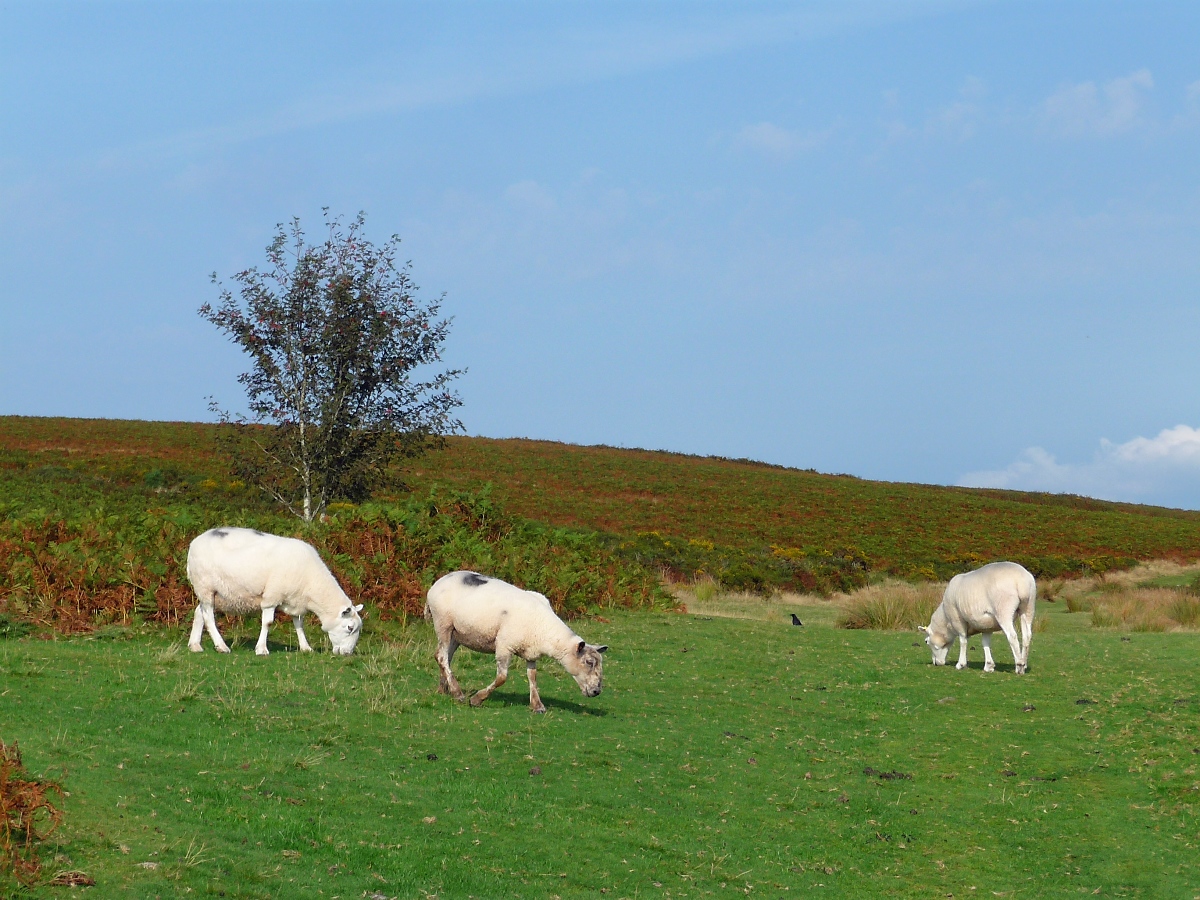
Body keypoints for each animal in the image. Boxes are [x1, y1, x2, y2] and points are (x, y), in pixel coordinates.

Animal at [184, 525, 362, 657]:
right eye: (349, 628)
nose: (347, 653)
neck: (312, 583)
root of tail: (195, 542)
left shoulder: (296, 600)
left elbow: (299, 624)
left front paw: (306, 648)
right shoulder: (271, 596)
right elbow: (268, 623)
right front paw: (261, 649)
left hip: (213, 593)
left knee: (199, 612)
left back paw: (195, 645)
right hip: (205, 586)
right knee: (209, 617)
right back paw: (221, 646)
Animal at [424, 573, 609, 715]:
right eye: (589, 662)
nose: (597, 691)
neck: (544, 629)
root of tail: (438, 583)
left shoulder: (531, 651)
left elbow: (532, 677)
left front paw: (537, 705)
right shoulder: (504, 645)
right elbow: (501, 678)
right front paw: (477, 699)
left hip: (457, 634)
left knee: (444, 657)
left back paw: (443, 689)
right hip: (443, 623)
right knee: (442, 657)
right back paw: (457, 693)